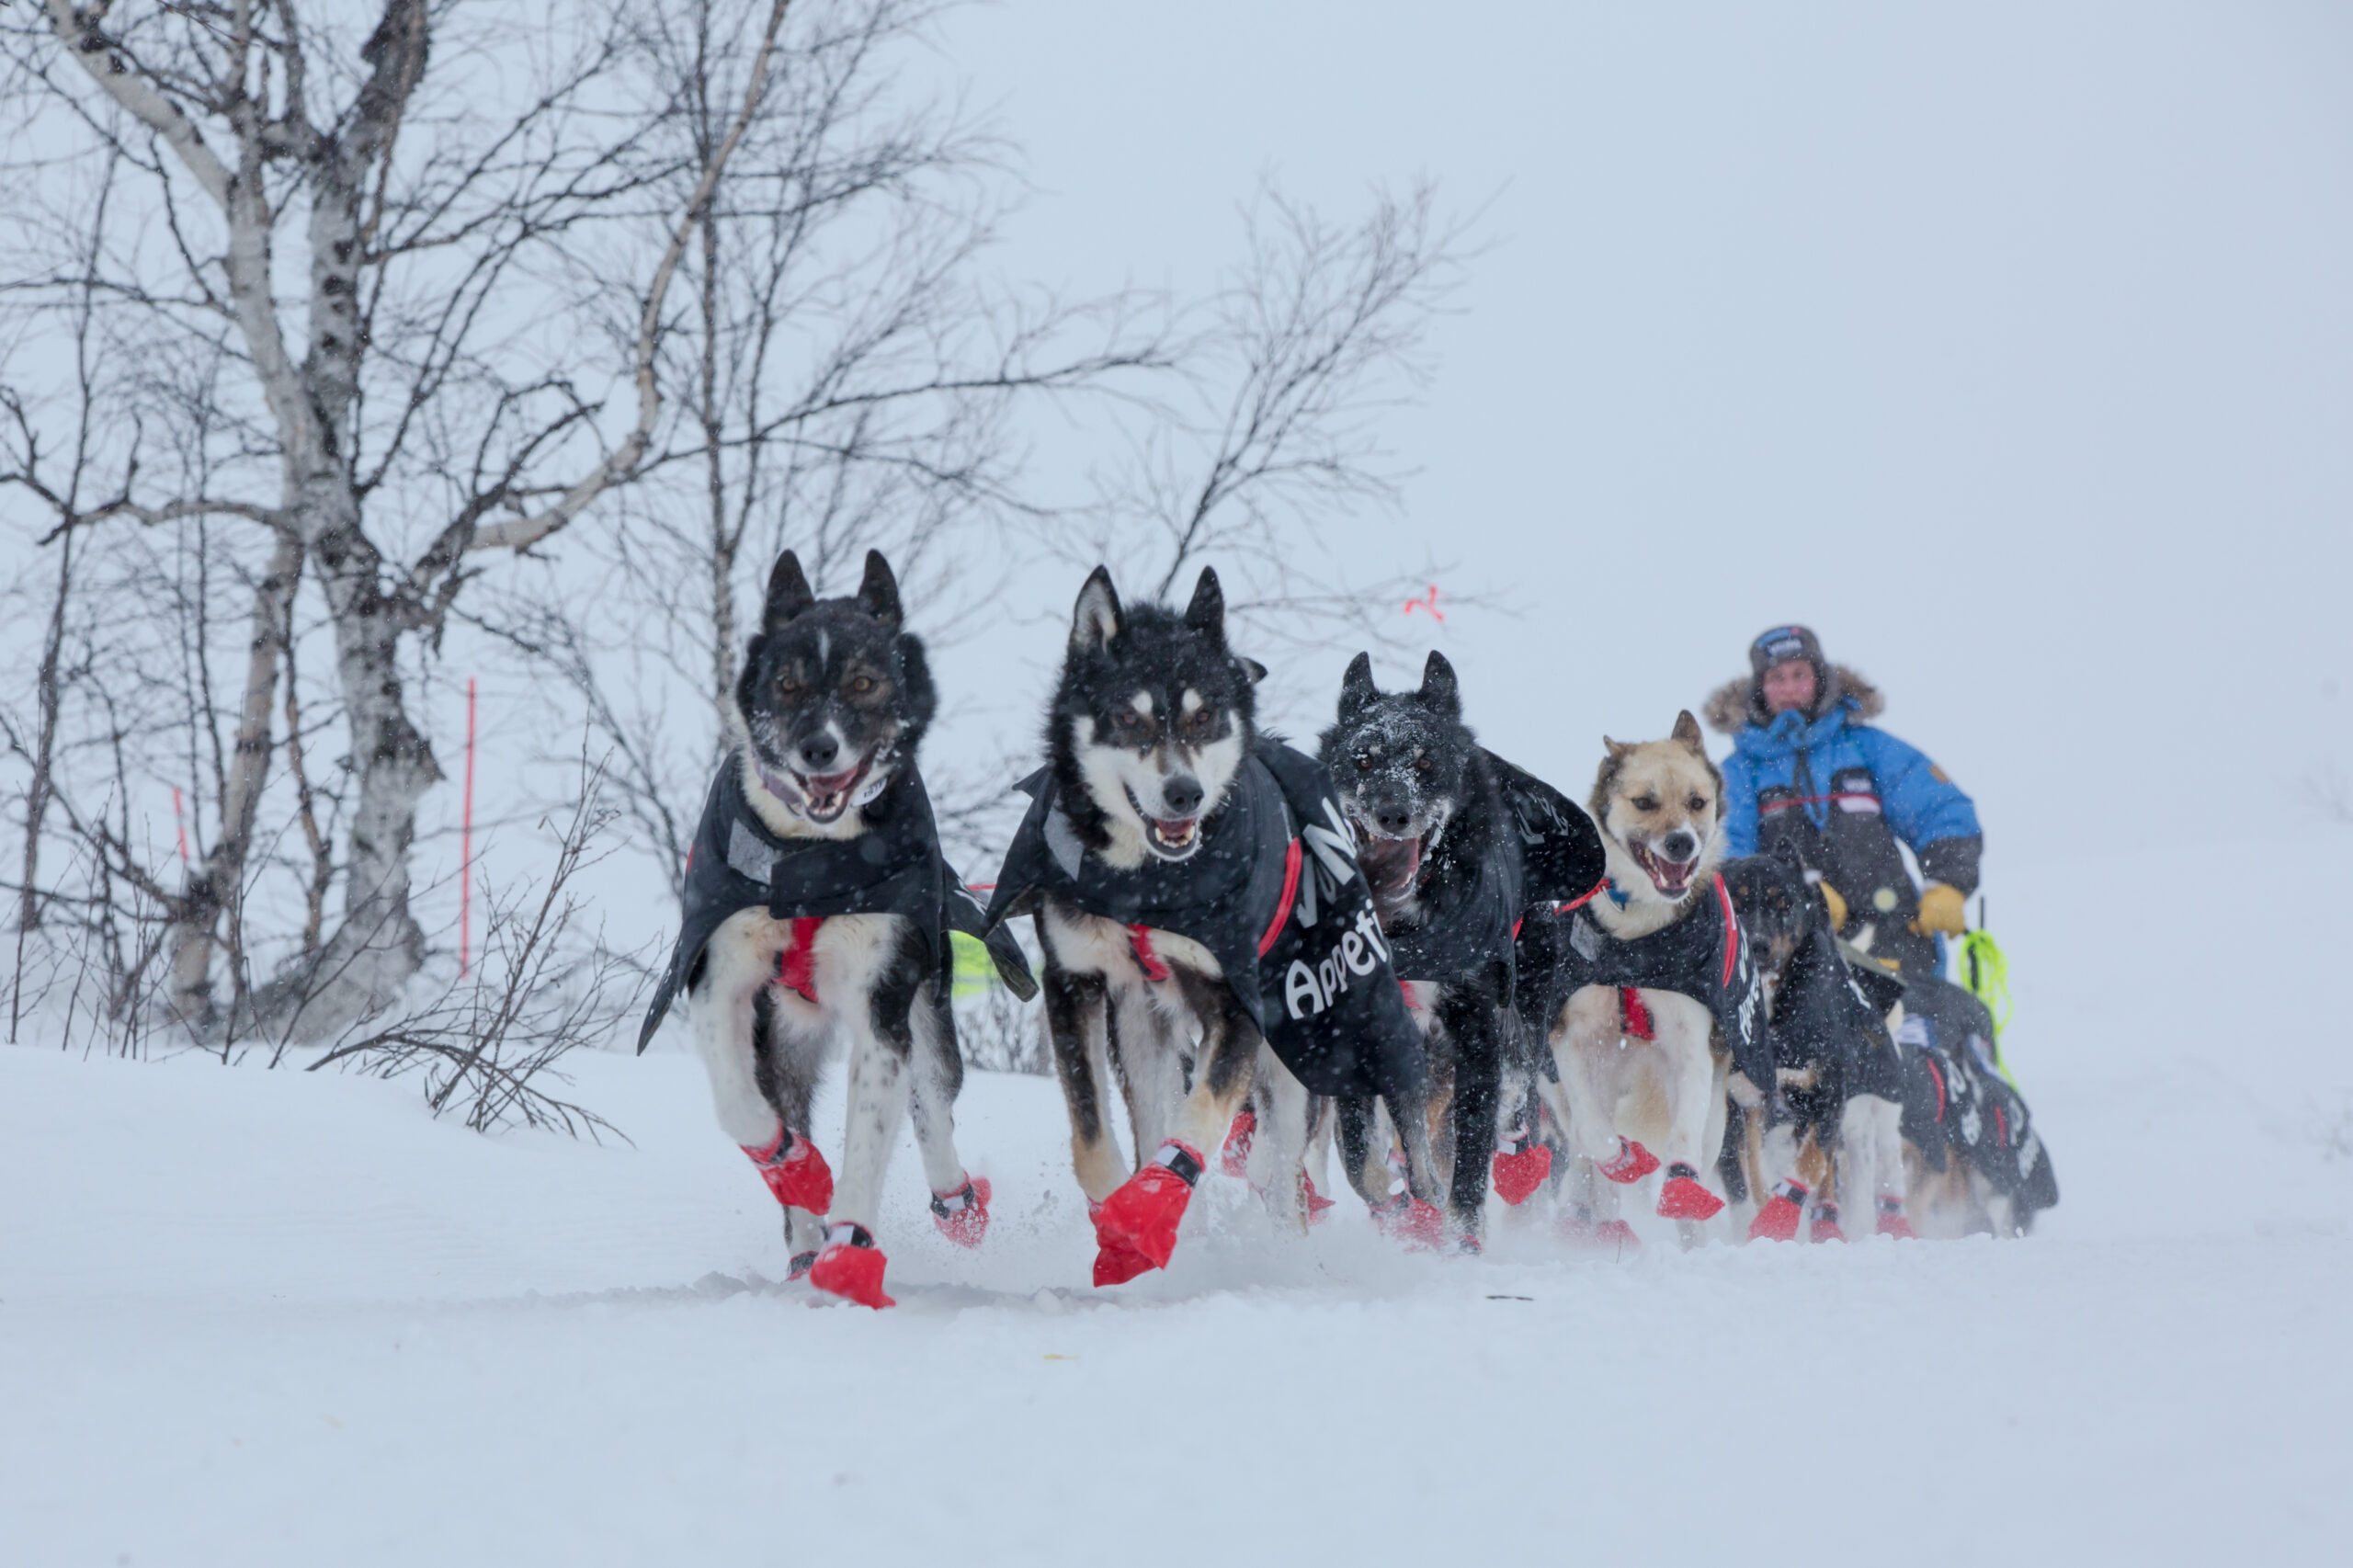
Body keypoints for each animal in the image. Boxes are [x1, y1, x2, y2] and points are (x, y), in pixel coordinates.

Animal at [635, 548, 1030, 1309]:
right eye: (787, 685)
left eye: (864, 682)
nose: (819, 748)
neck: (808, 862)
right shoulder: (719, 981)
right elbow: (739, 1107)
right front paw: (798, 1170)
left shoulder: (882, 1004)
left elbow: (872, 1138)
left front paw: (849, 1254)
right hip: (785, 1039)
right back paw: (800, 1244)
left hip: (926, 1015)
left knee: (932, 1106)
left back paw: (957, 1205)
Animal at [988, 562, 1439, 1280]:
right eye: (1127, 717)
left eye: (1204, 717)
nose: (1184, 794)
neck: (1145, 885)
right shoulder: (1073, 984)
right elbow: (1092, 1137)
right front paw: (1118, 1214)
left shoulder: (1237, 1006)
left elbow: (1201, 1116)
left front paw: (1148, 1207)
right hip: (1143, 1031)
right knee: (1162, 1113)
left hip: (1311, 1051)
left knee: (1296, 1181)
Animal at [1317, 644, 1609, 1243]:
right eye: (1363, 760)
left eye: (1427, 764)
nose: (1394, 813)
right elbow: (1363, 1151)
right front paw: (1404, 1199)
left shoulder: (1475, 1026)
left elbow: (1471, 1151)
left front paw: (1461, 1240)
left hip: (1525, 1005)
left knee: (1513, 1089)